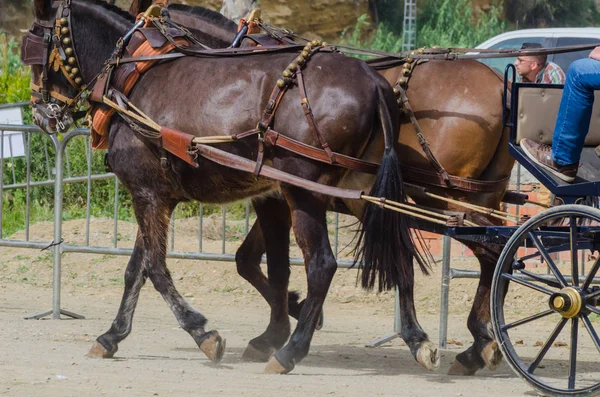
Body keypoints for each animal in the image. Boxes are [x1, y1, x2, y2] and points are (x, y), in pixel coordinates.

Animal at [24, 0, 426, 372]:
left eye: (32, 49)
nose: (41, 115)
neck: (133, 74)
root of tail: (375, 82)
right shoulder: (158, 194)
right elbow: (137, 269)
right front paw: (112, 335)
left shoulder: (149, 193)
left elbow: (157, 269)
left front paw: (204, 333)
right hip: (362, 191)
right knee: (400, 251)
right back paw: (417, 339)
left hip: (305, 194)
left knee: (322, 265)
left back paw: (291, 351)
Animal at [134, 2, 516, 374]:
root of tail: (499, 85)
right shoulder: (281, 196)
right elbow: (249, 260)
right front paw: (290, 314)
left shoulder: (279, 198)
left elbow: (263, 263)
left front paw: (285, 324)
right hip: (477, 197)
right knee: (496, 254)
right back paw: (479, 344)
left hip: (445, 201)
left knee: (494, 251)